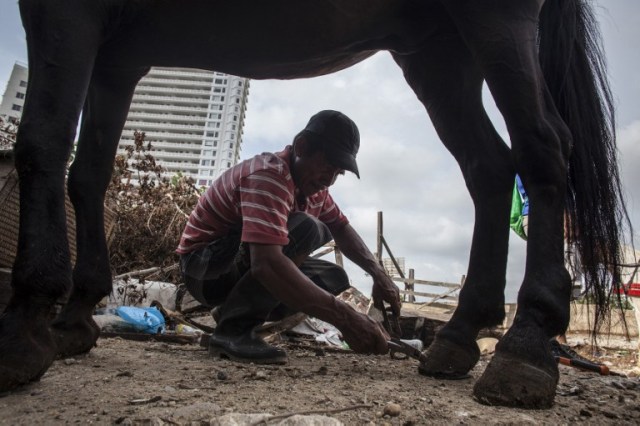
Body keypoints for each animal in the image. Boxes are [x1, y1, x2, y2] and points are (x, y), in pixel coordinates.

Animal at [0, 0, 632, 408]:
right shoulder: (119, 55)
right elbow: (87, 173)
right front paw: (74, 316)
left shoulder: (69, 13)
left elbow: (41, 143)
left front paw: (27, 327)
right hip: (438, 48)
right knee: (489, 168)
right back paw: (458, 334)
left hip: (493, 20)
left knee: (544, 145)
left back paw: (525, 346)